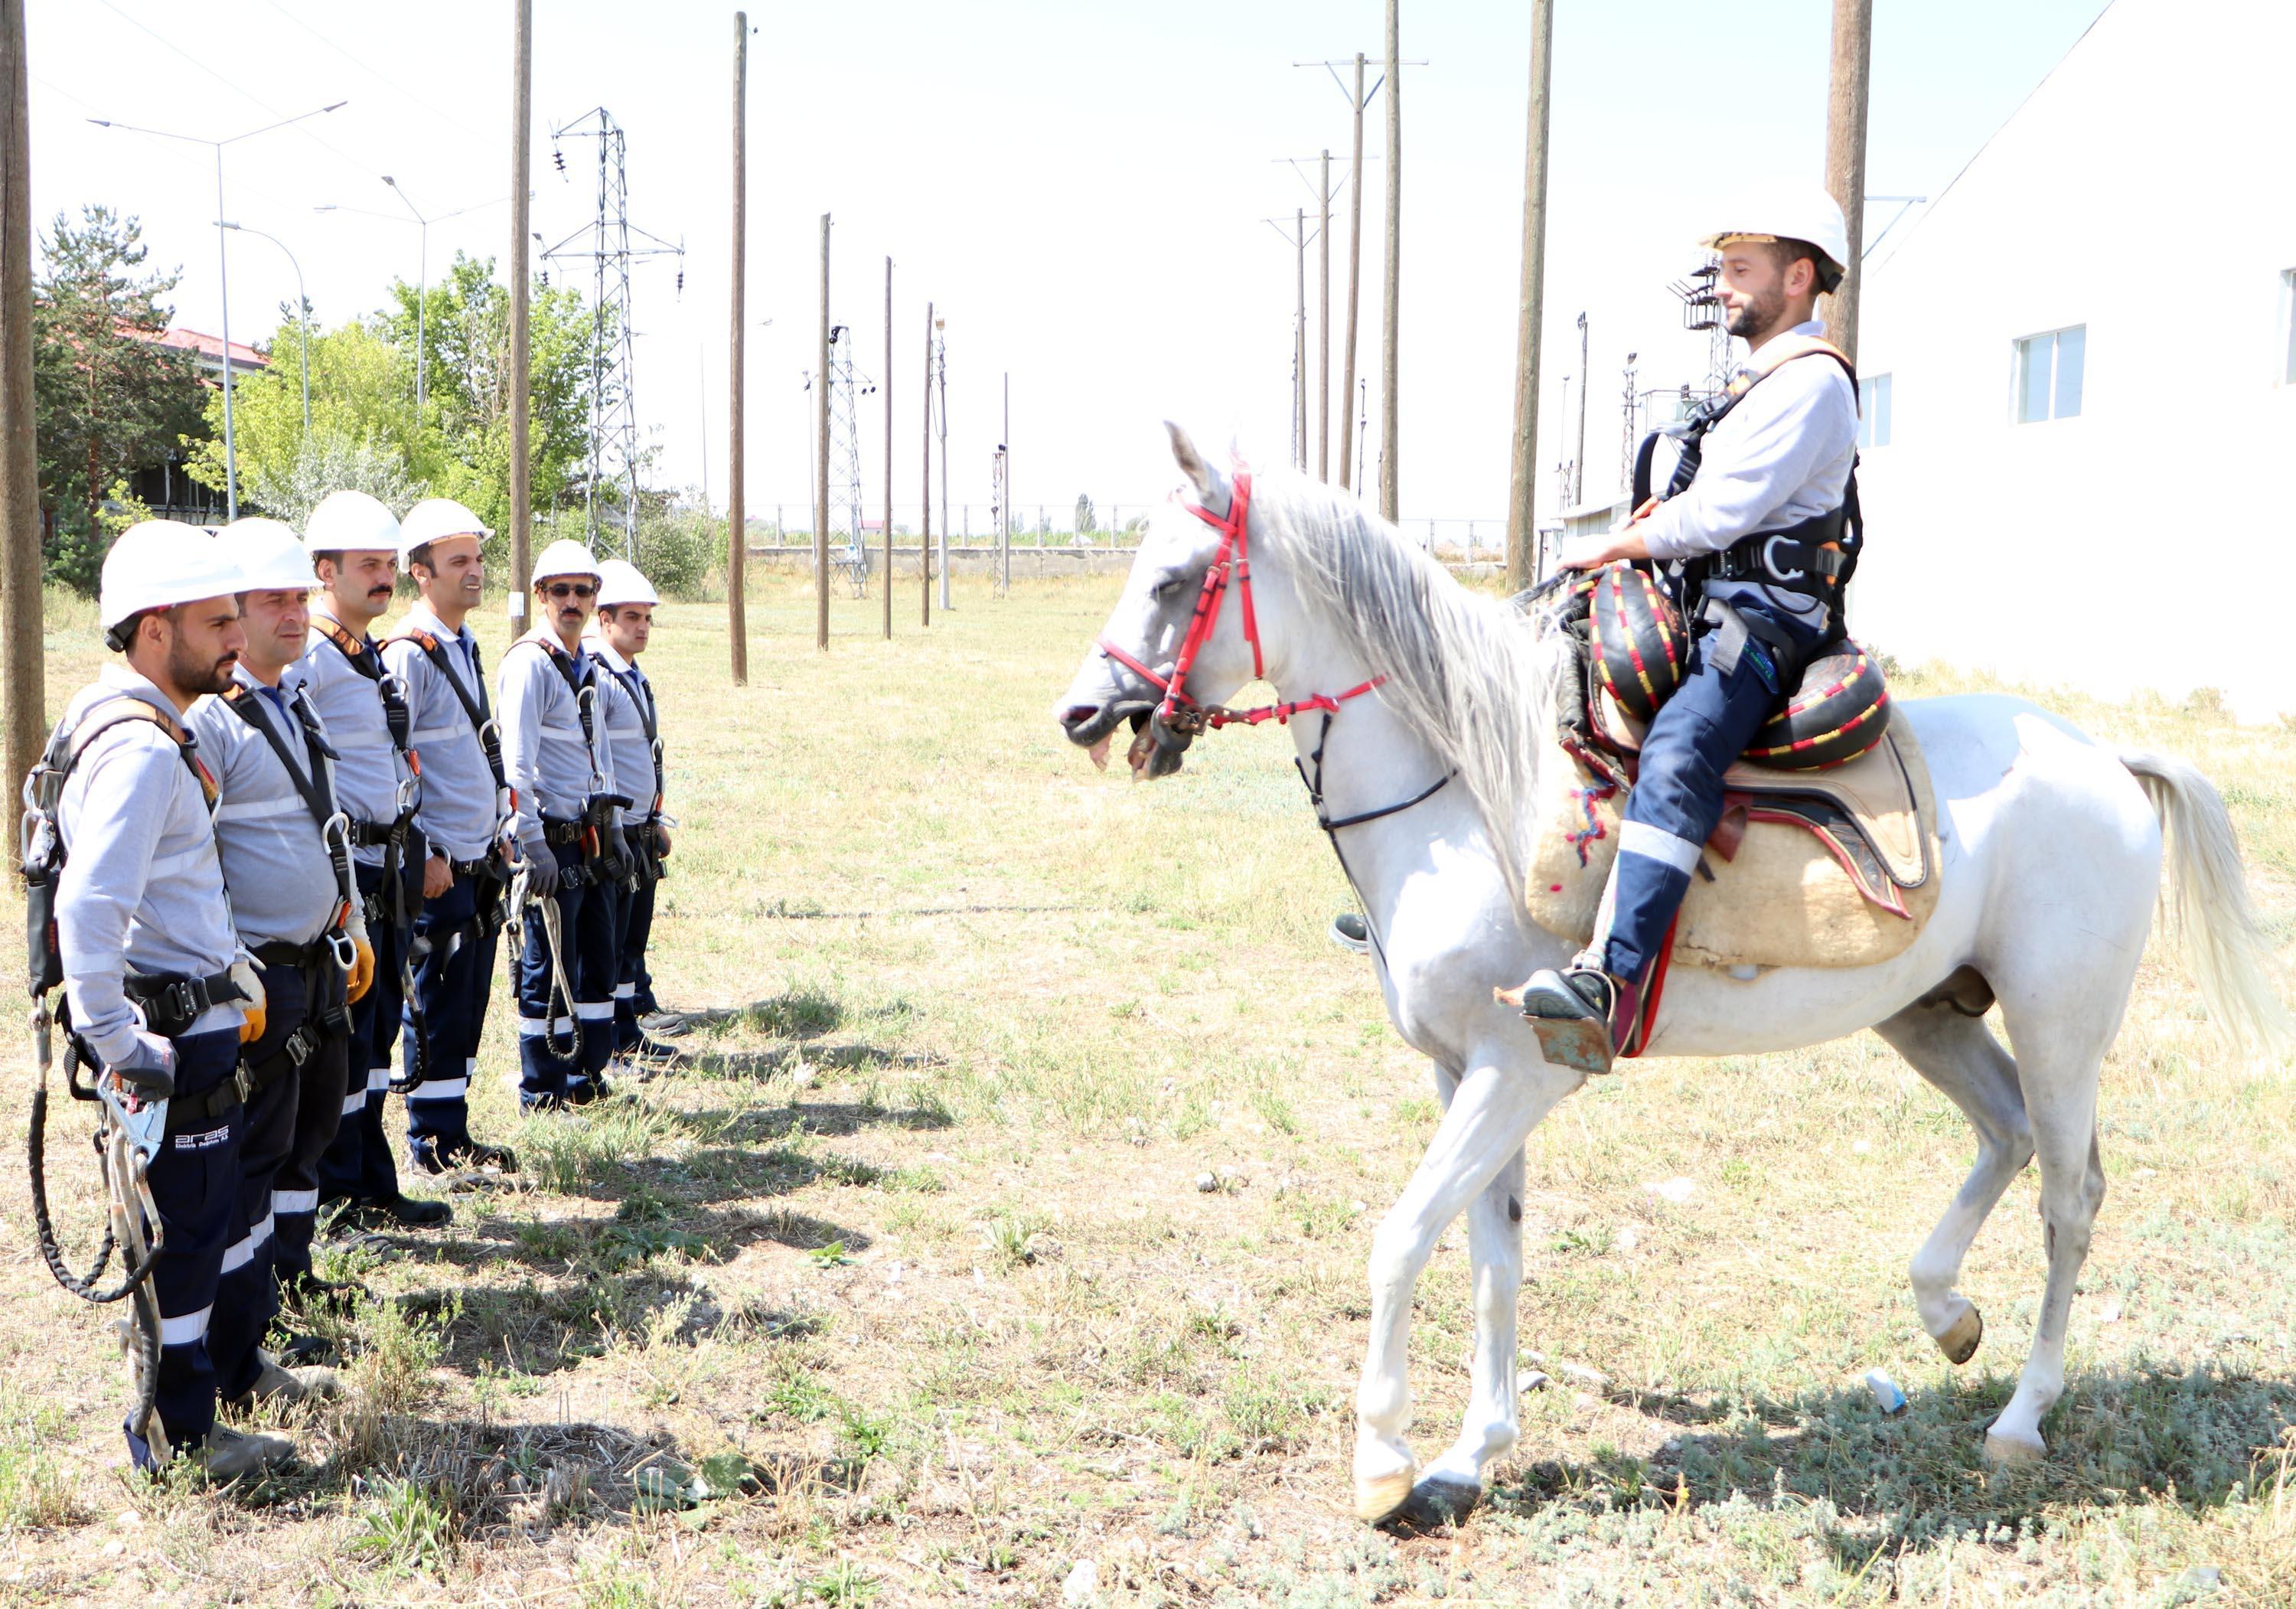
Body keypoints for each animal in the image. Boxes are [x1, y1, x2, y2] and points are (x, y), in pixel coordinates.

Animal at [1052, 419, 2278, 1524]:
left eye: (1174, 578)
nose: (1082, 713)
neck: (1478, 788)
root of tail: (2106, 757)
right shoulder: (1468, 1073)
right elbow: (1493, 1255)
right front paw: (1468, 1456)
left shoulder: (1520, 1068)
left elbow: (1402, 1237)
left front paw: (1385, 1460)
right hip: (1928, 1015)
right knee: (2009, 1134)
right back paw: (1947, 1314)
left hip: (2062, 1023)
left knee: (2071, 1194)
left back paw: (2022, 1416)